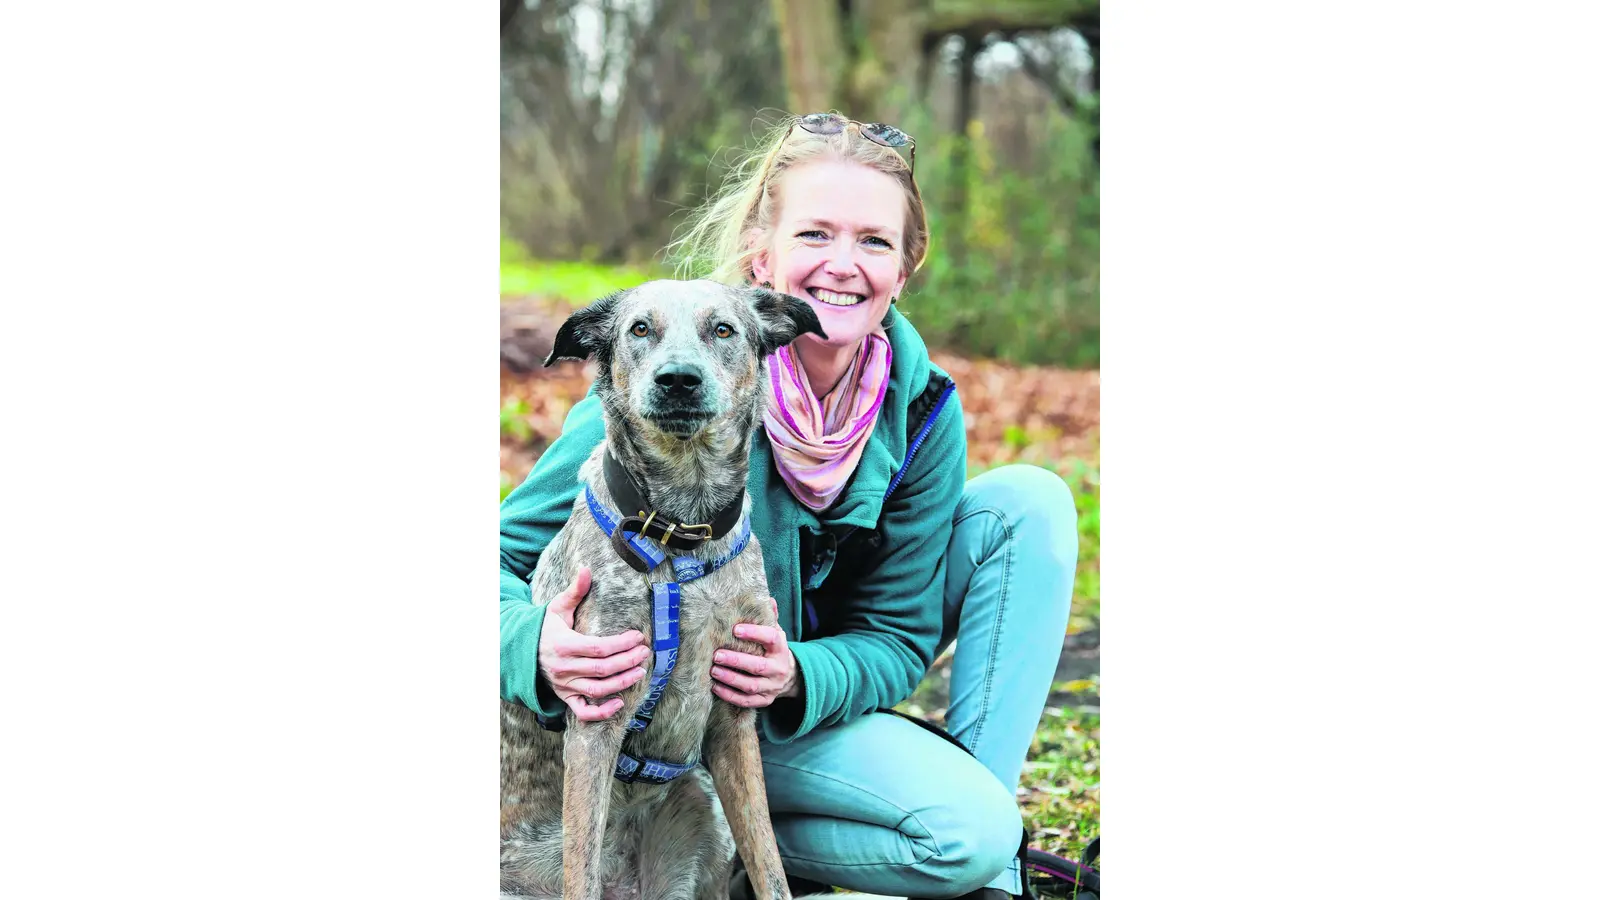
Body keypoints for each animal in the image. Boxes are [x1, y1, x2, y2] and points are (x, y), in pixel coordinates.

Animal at [499, 280, 825, 896]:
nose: (678, 379)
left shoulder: (734, 722)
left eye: (723, 329)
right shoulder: (595, 721)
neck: (679, 533)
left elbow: (771, 868)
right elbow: (580, 874)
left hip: (704, 815)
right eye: (639, 329)